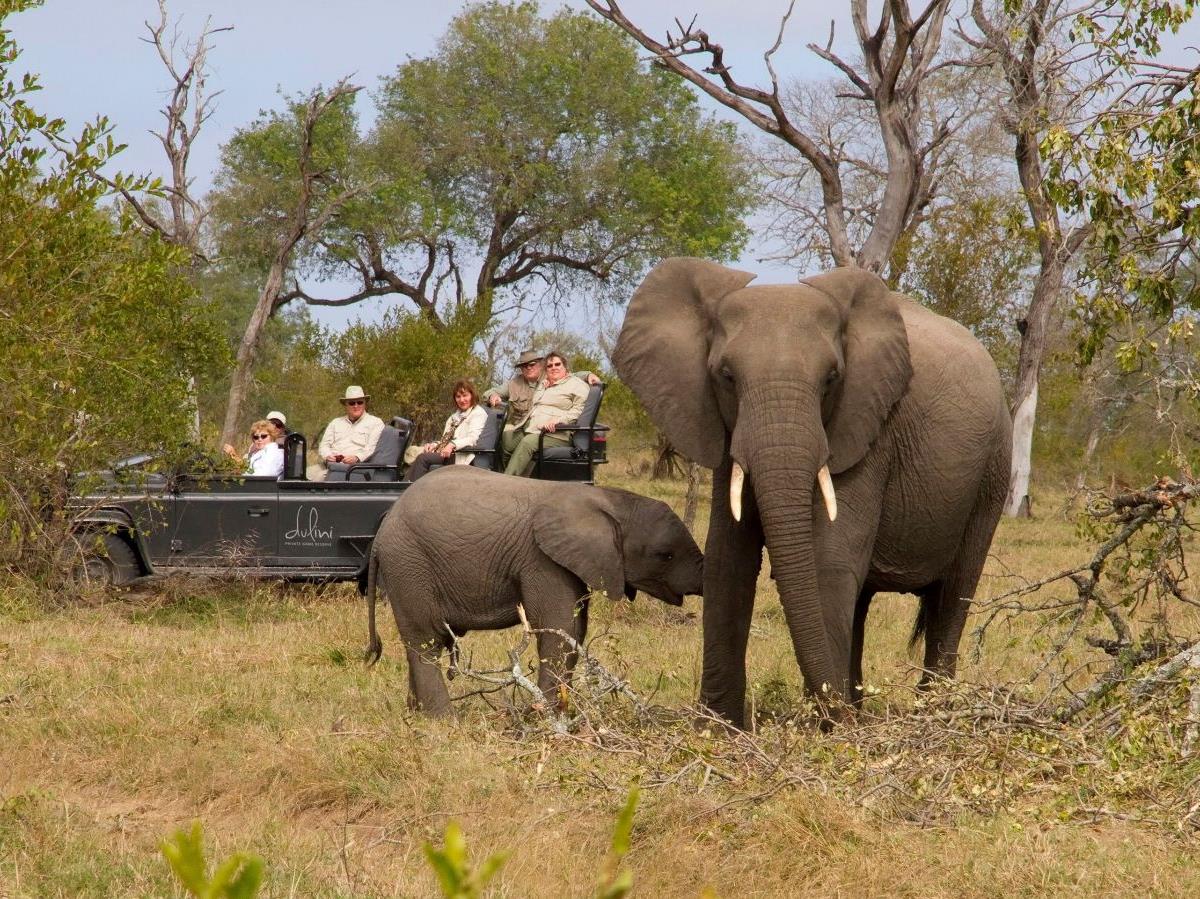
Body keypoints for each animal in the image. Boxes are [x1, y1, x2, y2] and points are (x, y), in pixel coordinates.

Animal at [363, 466, 704, 715]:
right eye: (665, 555)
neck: (608, 499)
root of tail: (381, 534)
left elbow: (576, 630)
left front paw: (562, 713)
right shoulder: (541, 559)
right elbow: (558, 628)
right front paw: (544, 716)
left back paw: (414, 715)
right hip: (409, 564)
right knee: (426, 642)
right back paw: (444, 720)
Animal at [613, 258, 1011, 727]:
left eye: (831, 379)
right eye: (726, 377)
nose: (834, 716)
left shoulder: (867, 430)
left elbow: (827, 562)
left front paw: (824, 729)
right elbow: (729, 560)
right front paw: (717, 728)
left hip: (993, 470)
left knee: (954, 592)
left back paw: (926, 714)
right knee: (863, 600)